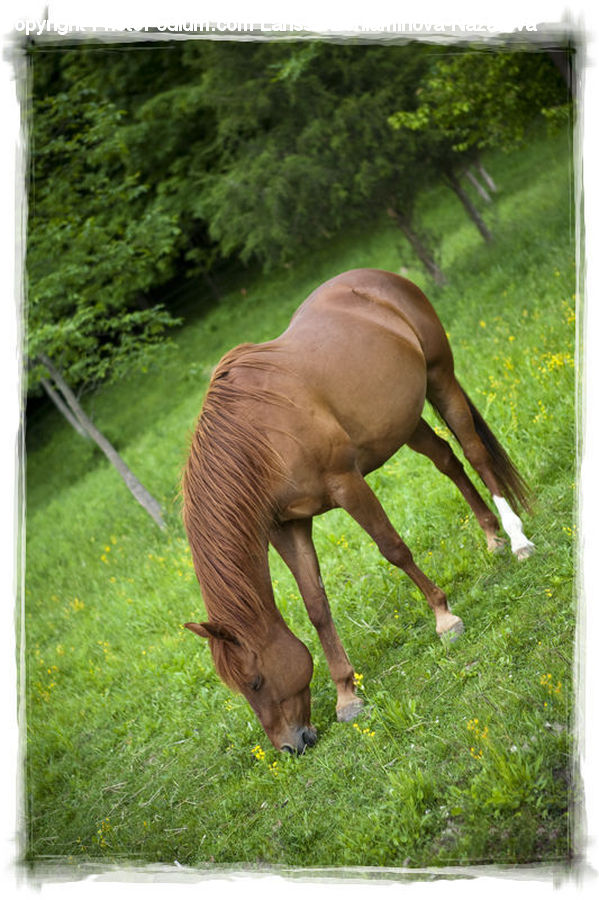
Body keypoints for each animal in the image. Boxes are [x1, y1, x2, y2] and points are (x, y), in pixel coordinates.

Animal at [182, 268, 534, 754]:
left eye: (254, 682)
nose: (291, 746)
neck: (260, 439)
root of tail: (380, 279)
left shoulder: (347, 485)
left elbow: (393, 549)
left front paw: (444, 618)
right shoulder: (288, 526)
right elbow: (315, 606)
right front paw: (347, 697)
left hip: (439, 378)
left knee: (476, 455)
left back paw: (517, 540)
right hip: (403, 420)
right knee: (447, 460)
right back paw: (491, 536)